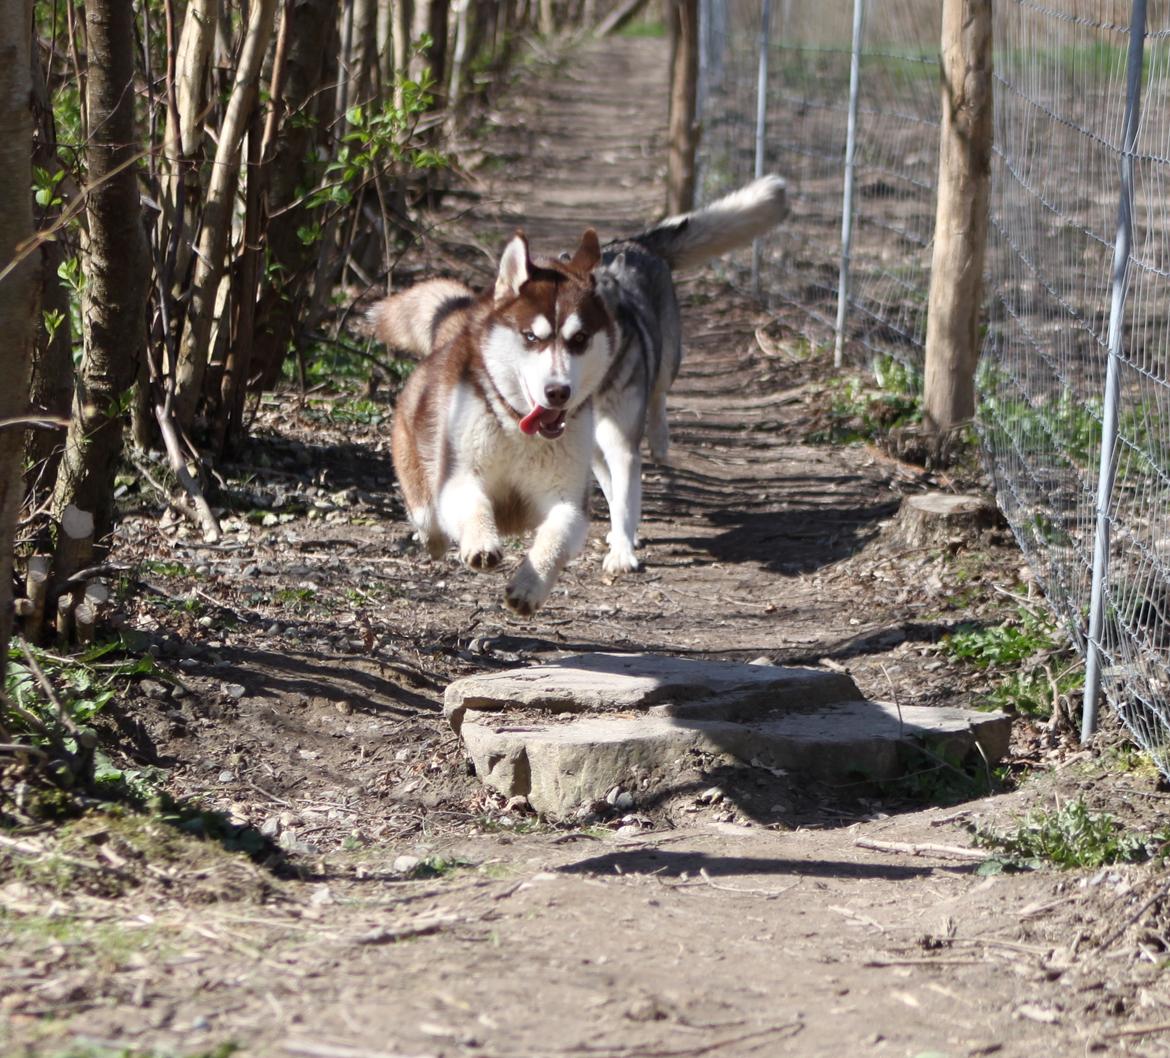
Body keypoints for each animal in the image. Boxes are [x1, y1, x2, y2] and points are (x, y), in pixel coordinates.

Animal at [376, 176, 786, 617]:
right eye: (531, 337)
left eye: (580, 339)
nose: (558, 391)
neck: (518, 427)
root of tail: (633, 244)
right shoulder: (463, 477)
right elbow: (472, 505)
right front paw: (481, 542)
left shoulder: (573, 489)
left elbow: (562, 533)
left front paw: (535, 583)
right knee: (427, 514)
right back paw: (434, 538)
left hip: (658, 372)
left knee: (655, 400)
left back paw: (657, 444)